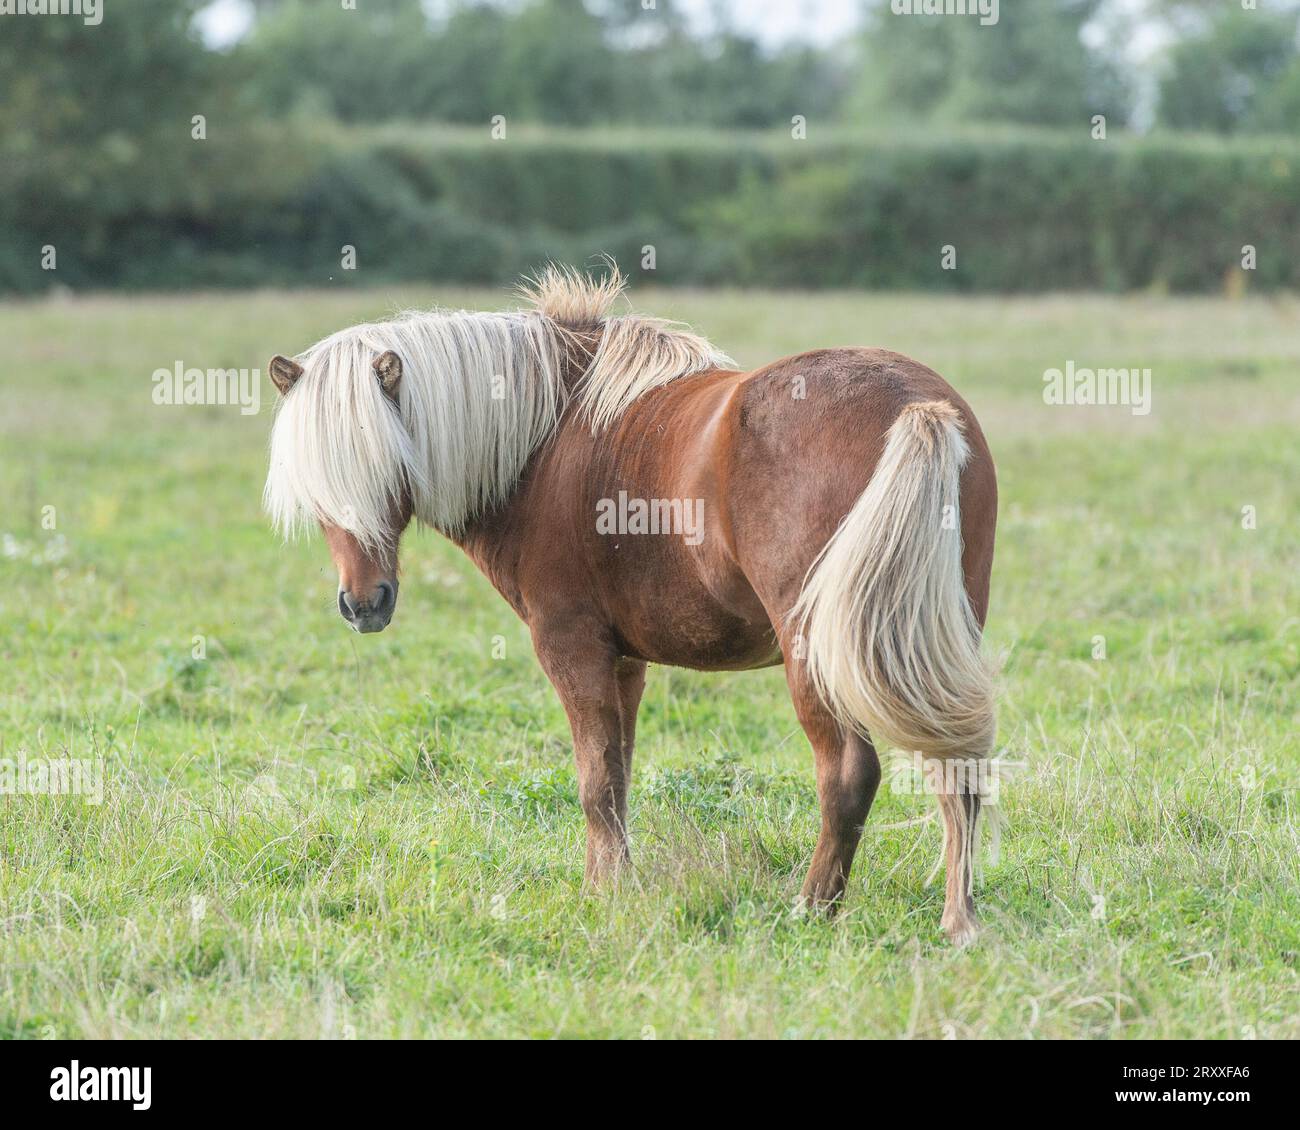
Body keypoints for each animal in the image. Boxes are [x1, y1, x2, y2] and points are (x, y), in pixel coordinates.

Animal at [261, 266, 993, 941]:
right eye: (316, 482)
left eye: (389, 463)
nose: (364, 604)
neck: (545, 439)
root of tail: (915, 407)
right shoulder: (625, 661)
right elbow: (618, 773)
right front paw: (616, 882)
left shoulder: (572, 647)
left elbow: (594, 781)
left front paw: (600, 895)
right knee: (957, 764)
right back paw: (958, 919)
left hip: (816, 654)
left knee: (847, 773)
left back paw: (813, 906)